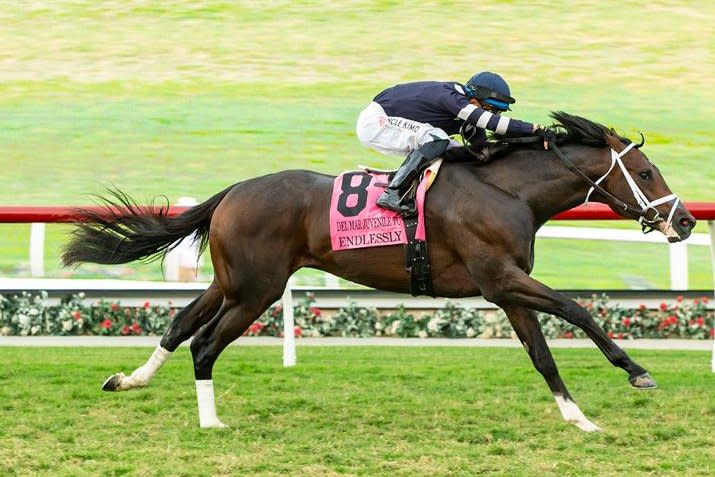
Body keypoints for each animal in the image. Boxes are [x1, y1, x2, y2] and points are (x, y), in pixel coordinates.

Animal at [64, 112, 696, 432]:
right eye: (645, 170)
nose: (686, 221)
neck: (506, 189)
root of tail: (233, 192)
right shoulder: (501, 278)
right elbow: (575, 307)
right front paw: (636, 371)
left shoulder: (508, 290)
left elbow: (542, 355)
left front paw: (578, 418)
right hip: (256, 291)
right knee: (203, 344)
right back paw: (210, 422)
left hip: (233, 282)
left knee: (178, 326)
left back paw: (129, 380)